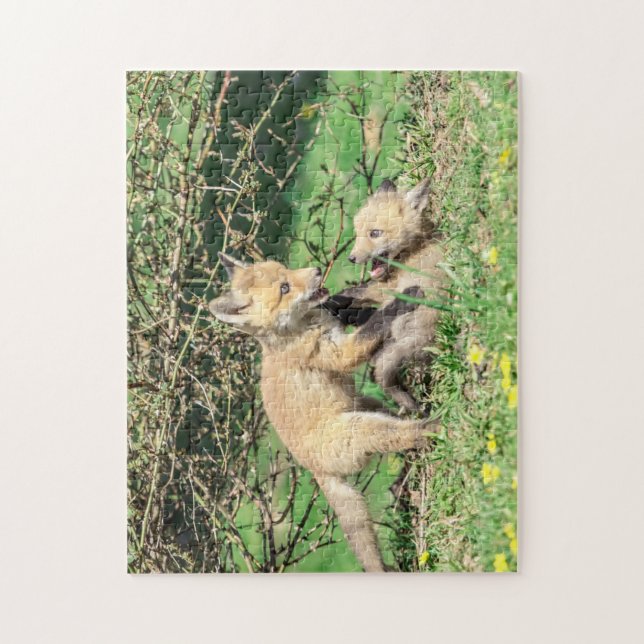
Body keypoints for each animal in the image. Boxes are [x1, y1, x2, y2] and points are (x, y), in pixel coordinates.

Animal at [209, 252, 437, 572]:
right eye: (284, 288)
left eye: (285, 270)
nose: (317, 270)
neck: (297, 330)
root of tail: (314, 469)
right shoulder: (339, 354)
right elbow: (376, 325)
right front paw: (404, 298)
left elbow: (358, 315)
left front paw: (348, 304)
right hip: (362, 426)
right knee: (405, 436)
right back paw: (432, 427)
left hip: (366, 404)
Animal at [333, 178, 446, 411]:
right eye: (357, 233)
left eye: (375, 233)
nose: (351, 258)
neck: (415, 247)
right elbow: (353, 293)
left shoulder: (385, 289)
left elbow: (356, 291)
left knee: (380, 369)